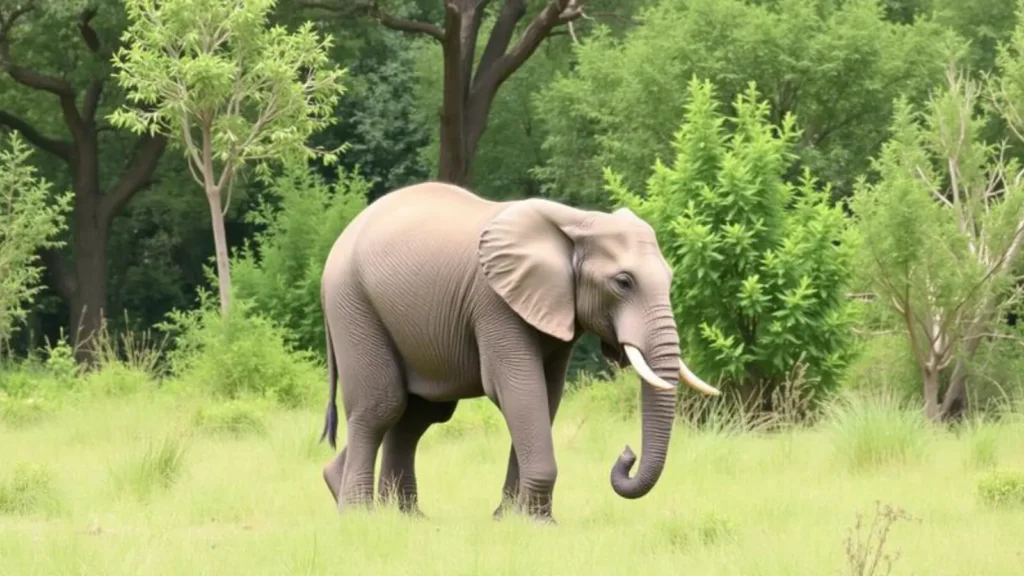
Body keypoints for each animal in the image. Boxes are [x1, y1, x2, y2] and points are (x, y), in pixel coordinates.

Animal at [317, 181, 719, 523]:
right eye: (623, 282)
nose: (626, 454)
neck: (577, 223)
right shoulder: (494, 302)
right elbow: (519, 390)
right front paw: (538, 524)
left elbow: (546, 396)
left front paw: (509, 518)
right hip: (353, 303)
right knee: (382, 406)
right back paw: (358, 514)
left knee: (418, 415)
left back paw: (397, 514)